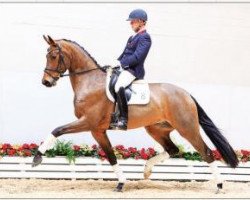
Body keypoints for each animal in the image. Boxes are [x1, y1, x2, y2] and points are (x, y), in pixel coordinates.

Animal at [33, 35, 238, 192]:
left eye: (53, 56)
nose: (46, 82)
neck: (90, 82)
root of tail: (186, 94)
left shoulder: (88, 122)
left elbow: (57, 130)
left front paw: (37, 157)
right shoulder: (97, 130)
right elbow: (111, 156)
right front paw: (121, 183)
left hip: (187, 128)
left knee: (206, 152)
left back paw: (219, 185)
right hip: (156, 129)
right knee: (173, 149)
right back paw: (147, 170)